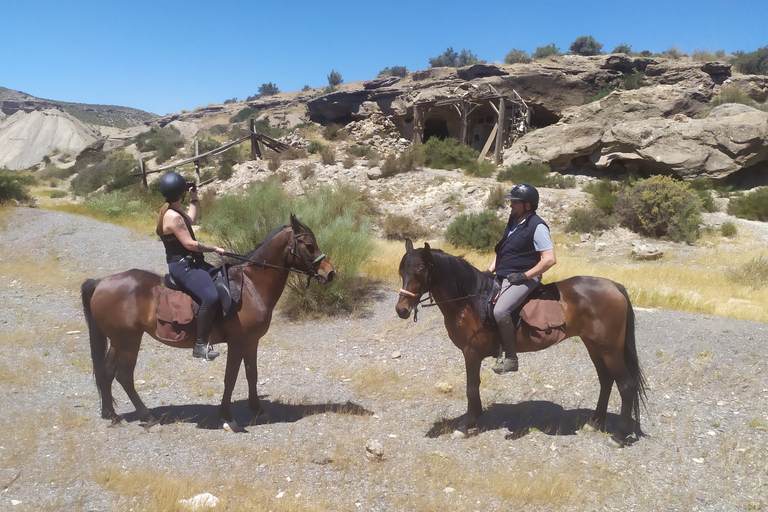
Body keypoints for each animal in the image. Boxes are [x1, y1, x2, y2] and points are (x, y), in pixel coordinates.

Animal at [82, 214, 336, 430]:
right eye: (308, 245)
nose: (331, 273)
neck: (251, 285)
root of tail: (101, 282)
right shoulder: (237, 342)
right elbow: (230, 378)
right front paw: (227, 418)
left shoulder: (251, 342)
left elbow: (251, 375)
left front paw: (257, 410)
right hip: (128, 341)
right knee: (124, 376)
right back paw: (147, 416)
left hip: (118, 341)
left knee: (106, 372)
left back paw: (112, 415)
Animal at [396, 240, 648, 444]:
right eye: (401, 271)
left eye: (419, 270)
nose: (401, 310)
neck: (470, 301)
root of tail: (614, 286)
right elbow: (474, 386)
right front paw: (475, 417)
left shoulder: (471, 353)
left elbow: (471, 387)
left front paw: (466, 425)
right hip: (595, 346)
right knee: (606, 381)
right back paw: (595, 422)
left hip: (609, 349)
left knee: (626, 385)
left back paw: (619, 435)